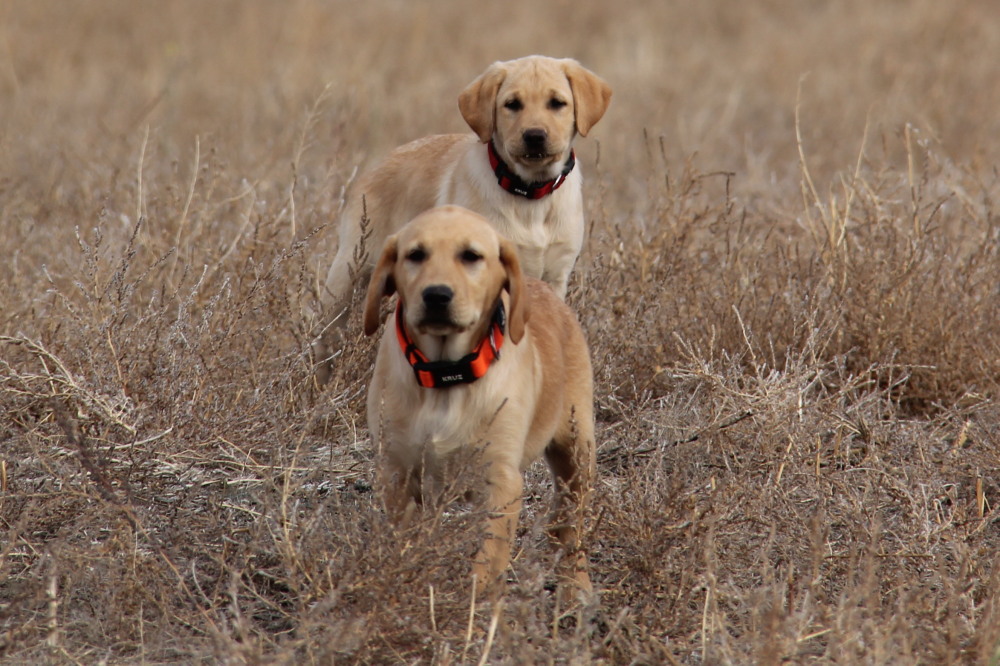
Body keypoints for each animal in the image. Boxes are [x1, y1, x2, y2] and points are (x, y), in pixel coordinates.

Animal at [366, 205, 592, 592]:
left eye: (471, 256)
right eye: (415, 255)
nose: (436, 296)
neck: (445, 376)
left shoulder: (501, 481)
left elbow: (488, 562)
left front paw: (480, 603)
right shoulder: (397, 473)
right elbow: (406, 543)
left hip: (576, 453)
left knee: (571, 527)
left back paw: (578, 590)